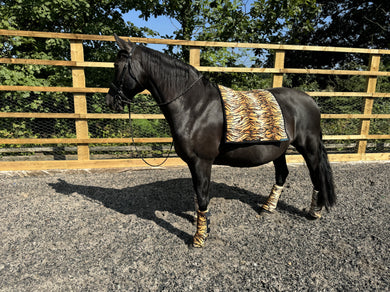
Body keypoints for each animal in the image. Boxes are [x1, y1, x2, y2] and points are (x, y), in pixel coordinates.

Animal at [106, 35, 336, 248]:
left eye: (117, 65)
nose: (111, 101)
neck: (194, 106)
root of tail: (310, 101)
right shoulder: (195, 164)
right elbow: (198, 195)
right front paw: (202, 225)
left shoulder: (201, 162)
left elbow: (202, 196)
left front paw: (199, 238)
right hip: (278, 149)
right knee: (282, 174)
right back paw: (268, 208)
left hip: (309, 148)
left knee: (317, 176)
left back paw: (314, 212)